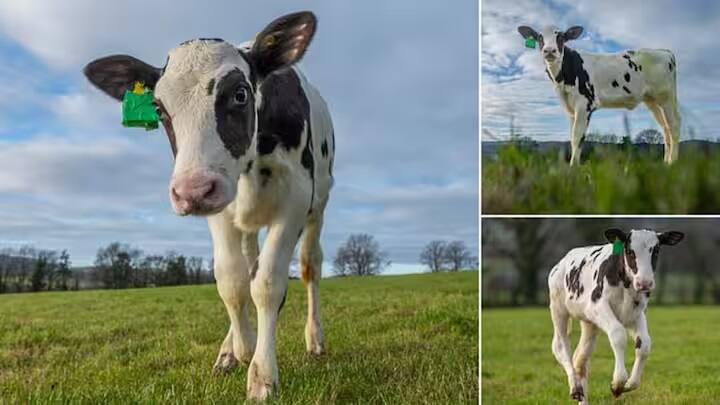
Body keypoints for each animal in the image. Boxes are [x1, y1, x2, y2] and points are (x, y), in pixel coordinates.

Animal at [83, 11, 334, 401]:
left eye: (240, 94)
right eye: (159, 108)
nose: (192, 191)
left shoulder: (295, 196)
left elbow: (267, 284)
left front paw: (262, 376)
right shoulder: (220, 208)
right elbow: (231, 281)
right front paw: (242, 349)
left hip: (318, 206)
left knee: (310, 266)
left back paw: (315, 339)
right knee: (247, 266)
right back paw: (229, 349)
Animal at [517, 25, 681, 165]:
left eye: (561, 37)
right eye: (540, 37)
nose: (549, 51)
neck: (562, 79)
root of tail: (665, 51)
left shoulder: (584, 105)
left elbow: (577, 137)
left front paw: (573, 168)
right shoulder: (571, 108)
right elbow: (572, 136)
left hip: (666, 97)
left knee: (674, 125)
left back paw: (672, 163)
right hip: (652, 101)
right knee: (665, 127)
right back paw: (665, 162)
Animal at [547, 228, 684, 404]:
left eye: (656, 250)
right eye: (630, 251)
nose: (645, 283)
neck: (626, 285)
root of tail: (562, 262)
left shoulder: (637, 313)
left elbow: (645, 344)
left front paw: (630, 383)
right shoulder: (597, 305)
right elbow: (618, 334)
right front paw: (618, 382)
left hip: (589, 323)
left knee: (581, 358)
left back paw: (582, 395)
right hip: (558, 309)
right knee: (560, 345)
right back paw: (575, 387)